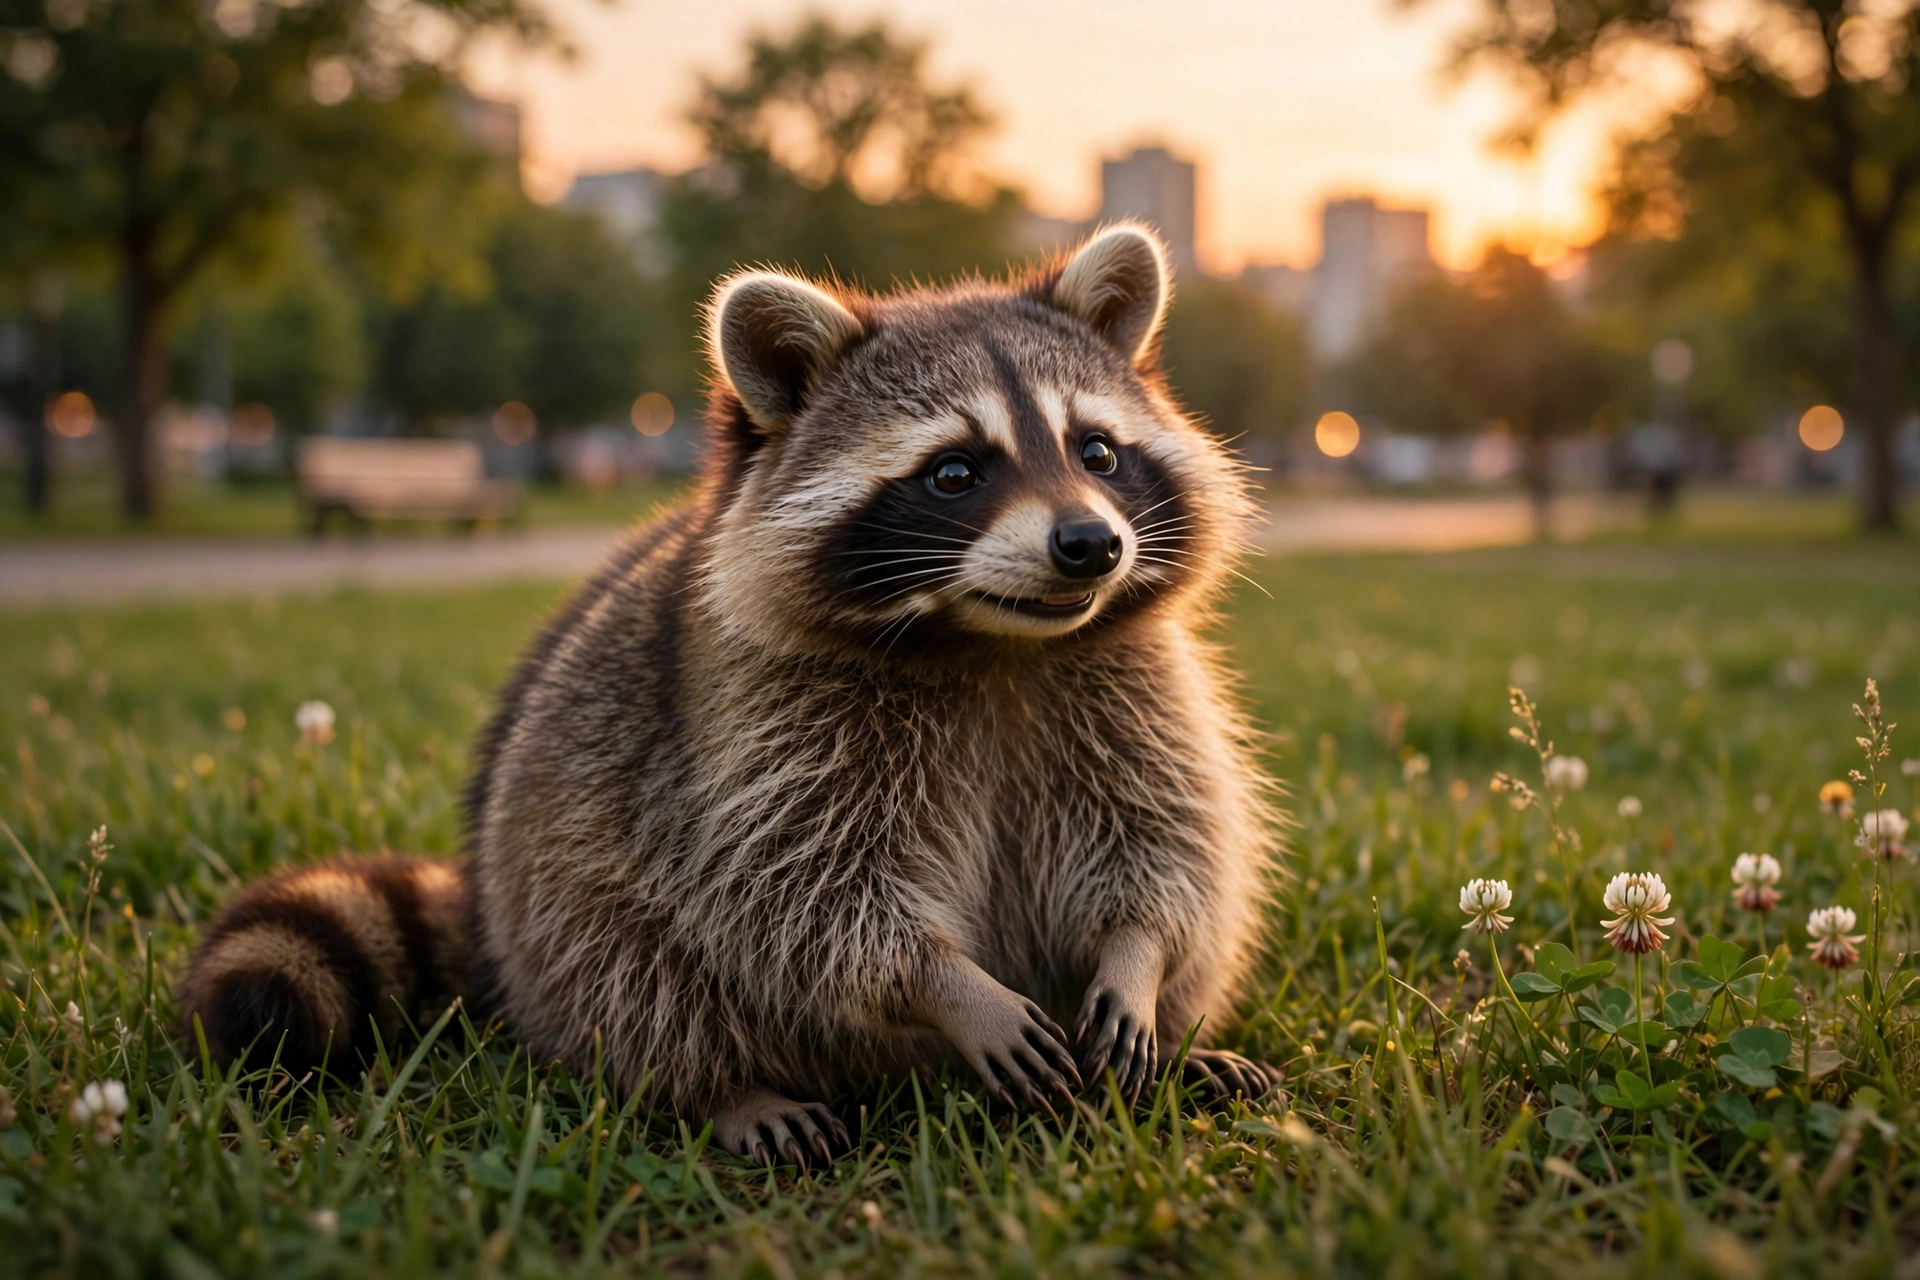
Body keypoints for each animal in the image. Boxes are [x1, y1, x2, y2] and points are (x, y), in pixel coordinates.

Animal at [182, 224, 1280, 1166]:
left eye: (1097, 451)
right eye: (955, 472)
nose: (1089, 544)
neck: (993, 642)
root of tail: (489, 921)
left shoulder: (1129, 685)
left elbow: (1165, 842)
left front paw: (1136, 957)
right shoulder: (762, 734)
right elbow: (807, 895)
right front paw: (943, 983)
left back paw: (1183, 1049)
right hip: (549, 881)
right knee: (629, 968)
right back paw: (724, 1088)